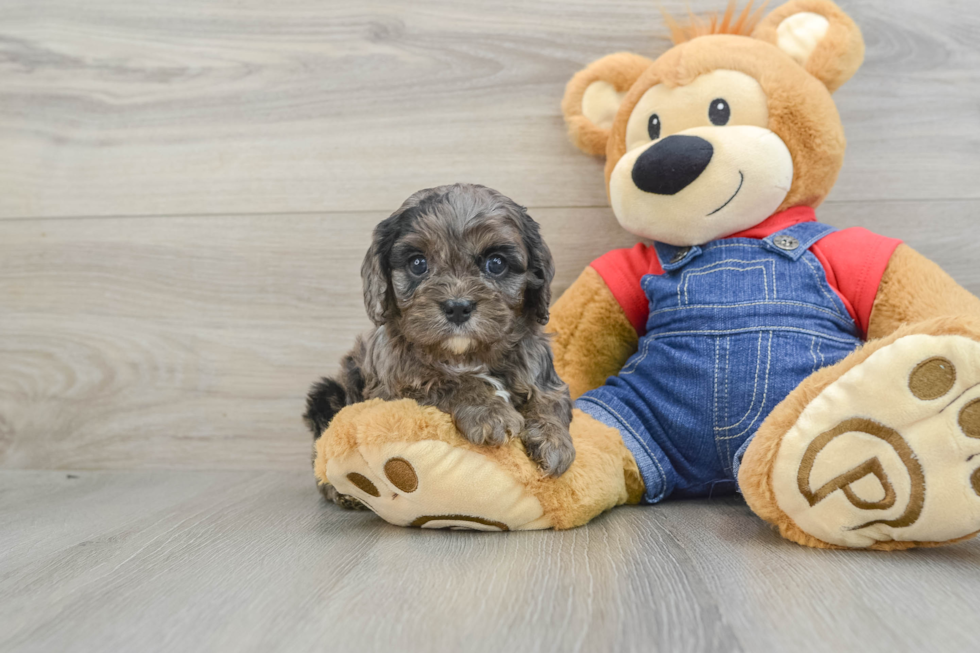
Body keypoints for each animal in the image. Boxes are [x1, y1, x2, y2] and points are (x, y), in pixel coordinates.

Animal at [304, 181, 576, 506]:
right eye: (418, 263)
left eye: (496, 263)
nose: (457, 307)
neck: (465, 355)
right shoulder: (393, 389)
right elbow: (447, 382)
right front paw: (489, 411)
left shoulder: (541, 370)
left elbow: (549, 400)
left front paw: (554, 442)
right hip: (328, 394)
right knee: (322, 445)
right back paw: (339, 490)